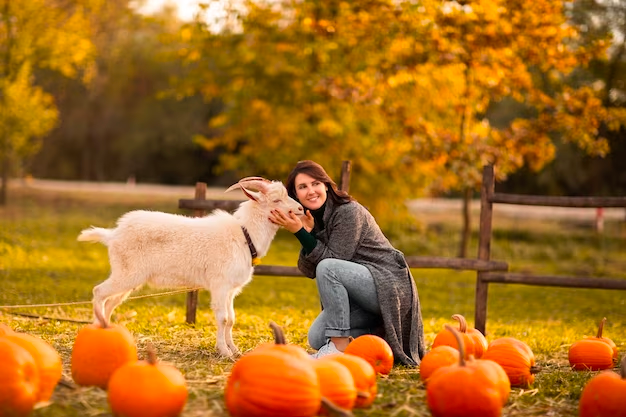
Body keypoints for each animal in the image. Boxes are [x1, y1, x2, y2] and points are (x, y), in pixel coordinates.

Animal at [78, 177, 302, 356]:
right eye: (276, 200)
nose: (300, 209)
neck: (244, 235)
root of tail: (112, 235)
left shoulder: (231, 290)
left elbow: (231, 319)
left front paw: (235, 349)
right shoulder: (220, 285)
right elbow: (222, 318)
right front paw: (224, 351)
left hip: (128, 279)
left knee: (110, 302)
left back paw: (107, 330)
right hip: (126, 273)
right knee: (99, 292)